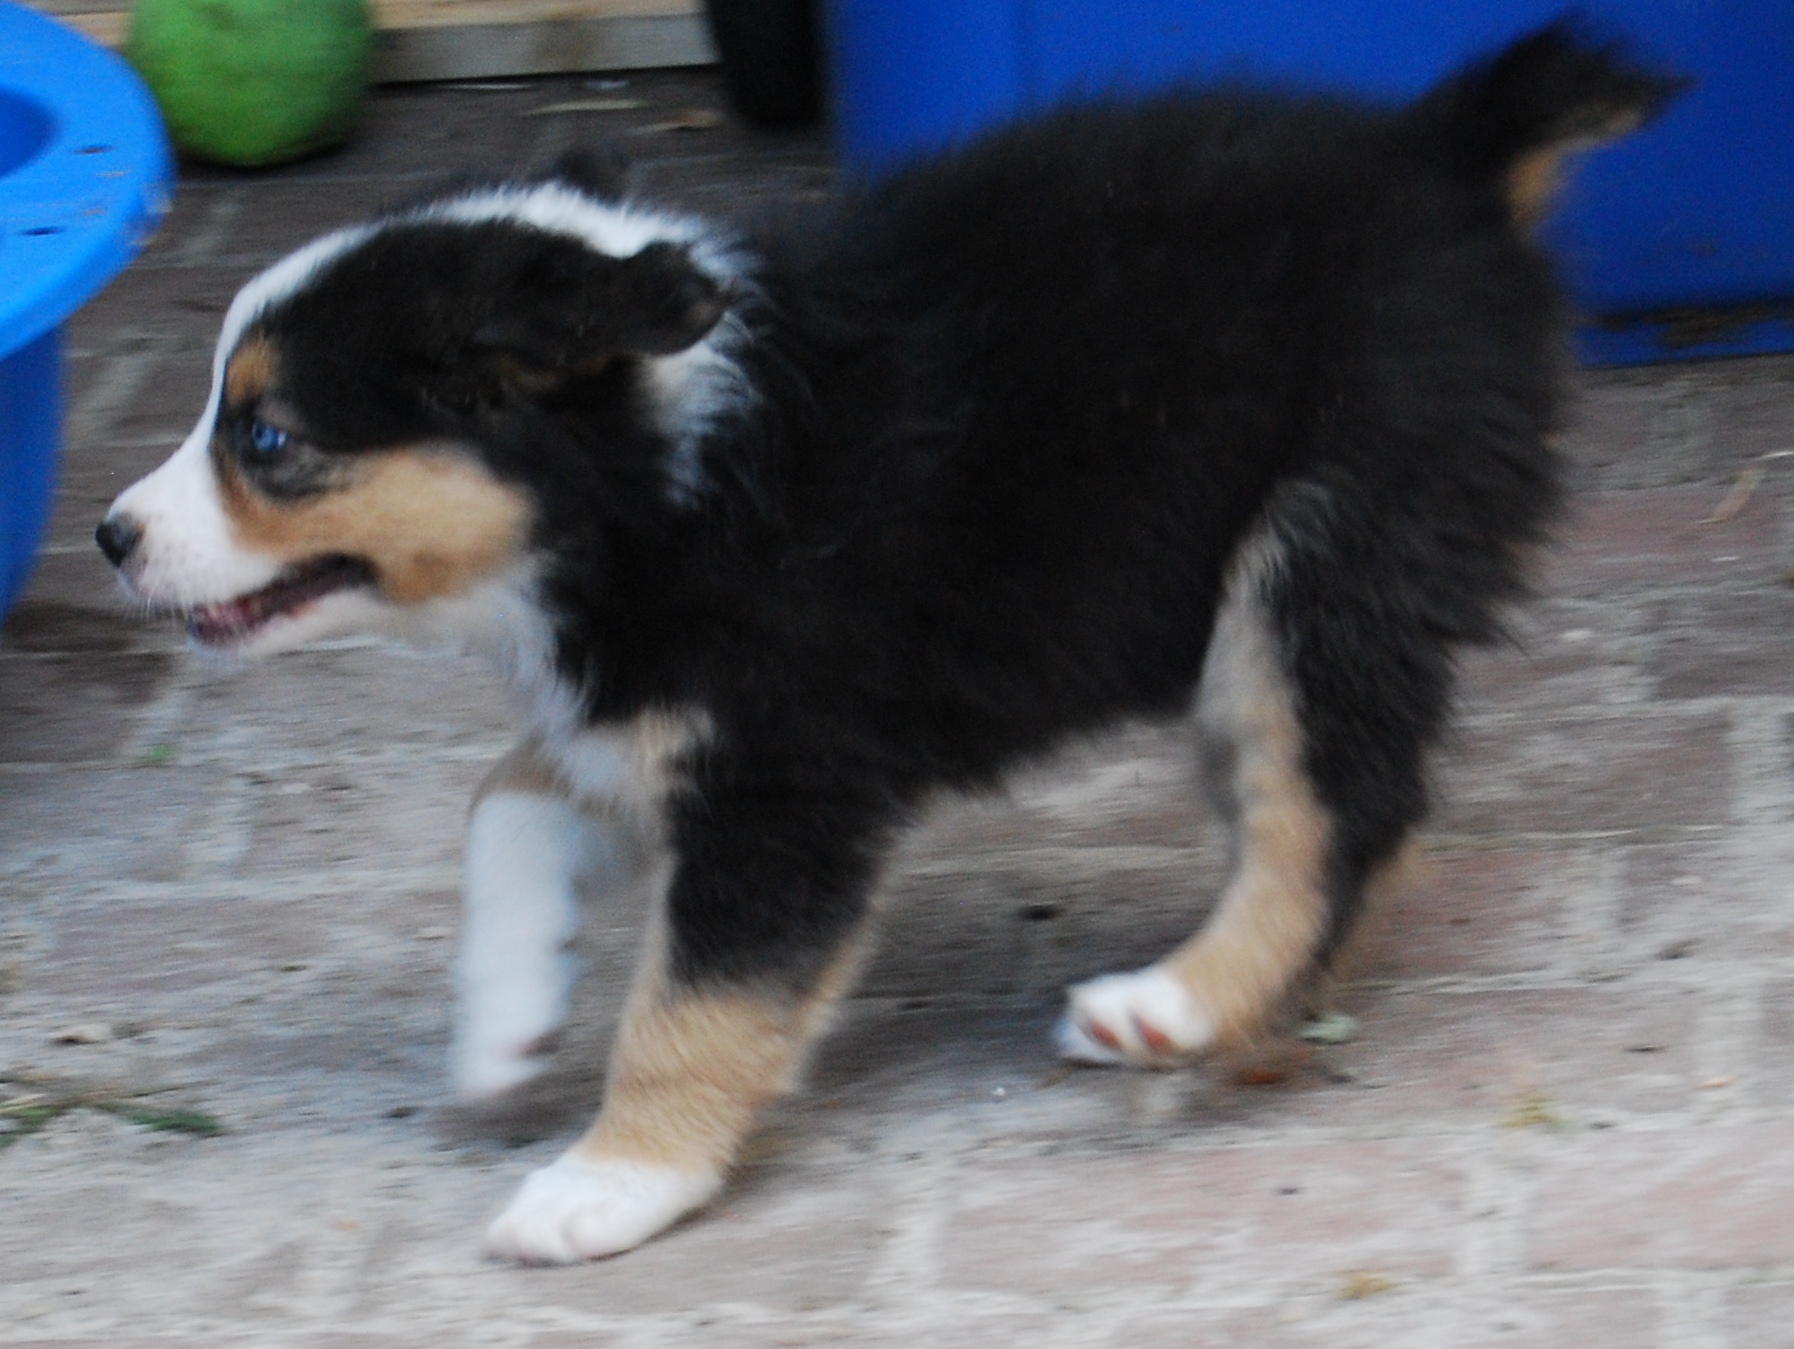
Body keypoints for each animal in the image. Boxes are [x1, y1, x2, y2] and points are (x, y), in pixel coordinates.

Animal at [97, 23, 1678, 1263]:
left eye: (266, 438)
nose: (111, 535)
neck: (652, 476)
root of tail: (1445, 152)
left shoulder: (784, 776)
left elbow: (694, 998)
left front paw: (608, 1184)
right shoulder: (649, 719)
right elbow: (503, 807)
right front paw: (504, 1026)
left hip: (1322, 548)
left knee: (1334, 806)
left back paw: (1175, 1003)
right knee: (1369, 803)